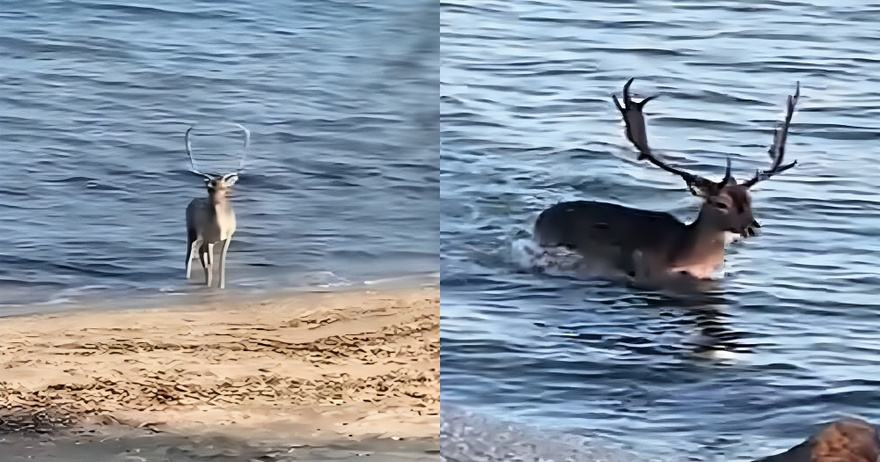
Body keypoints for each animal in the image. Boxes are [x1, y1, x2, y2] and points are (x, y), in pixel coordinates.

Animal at [183, 122, 249, 288]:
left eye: (224, 188)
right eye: (209, 188)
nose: (216, 200)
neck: (219, 227)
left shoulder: (227, 238)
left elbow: (221, 263)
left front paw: (221, 286)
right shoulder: (208, 240)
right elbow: (210, 263)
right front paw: (209, 285)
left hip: (204, 240)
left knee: (199, 254)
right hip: (192, 233)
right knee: (190, 255)